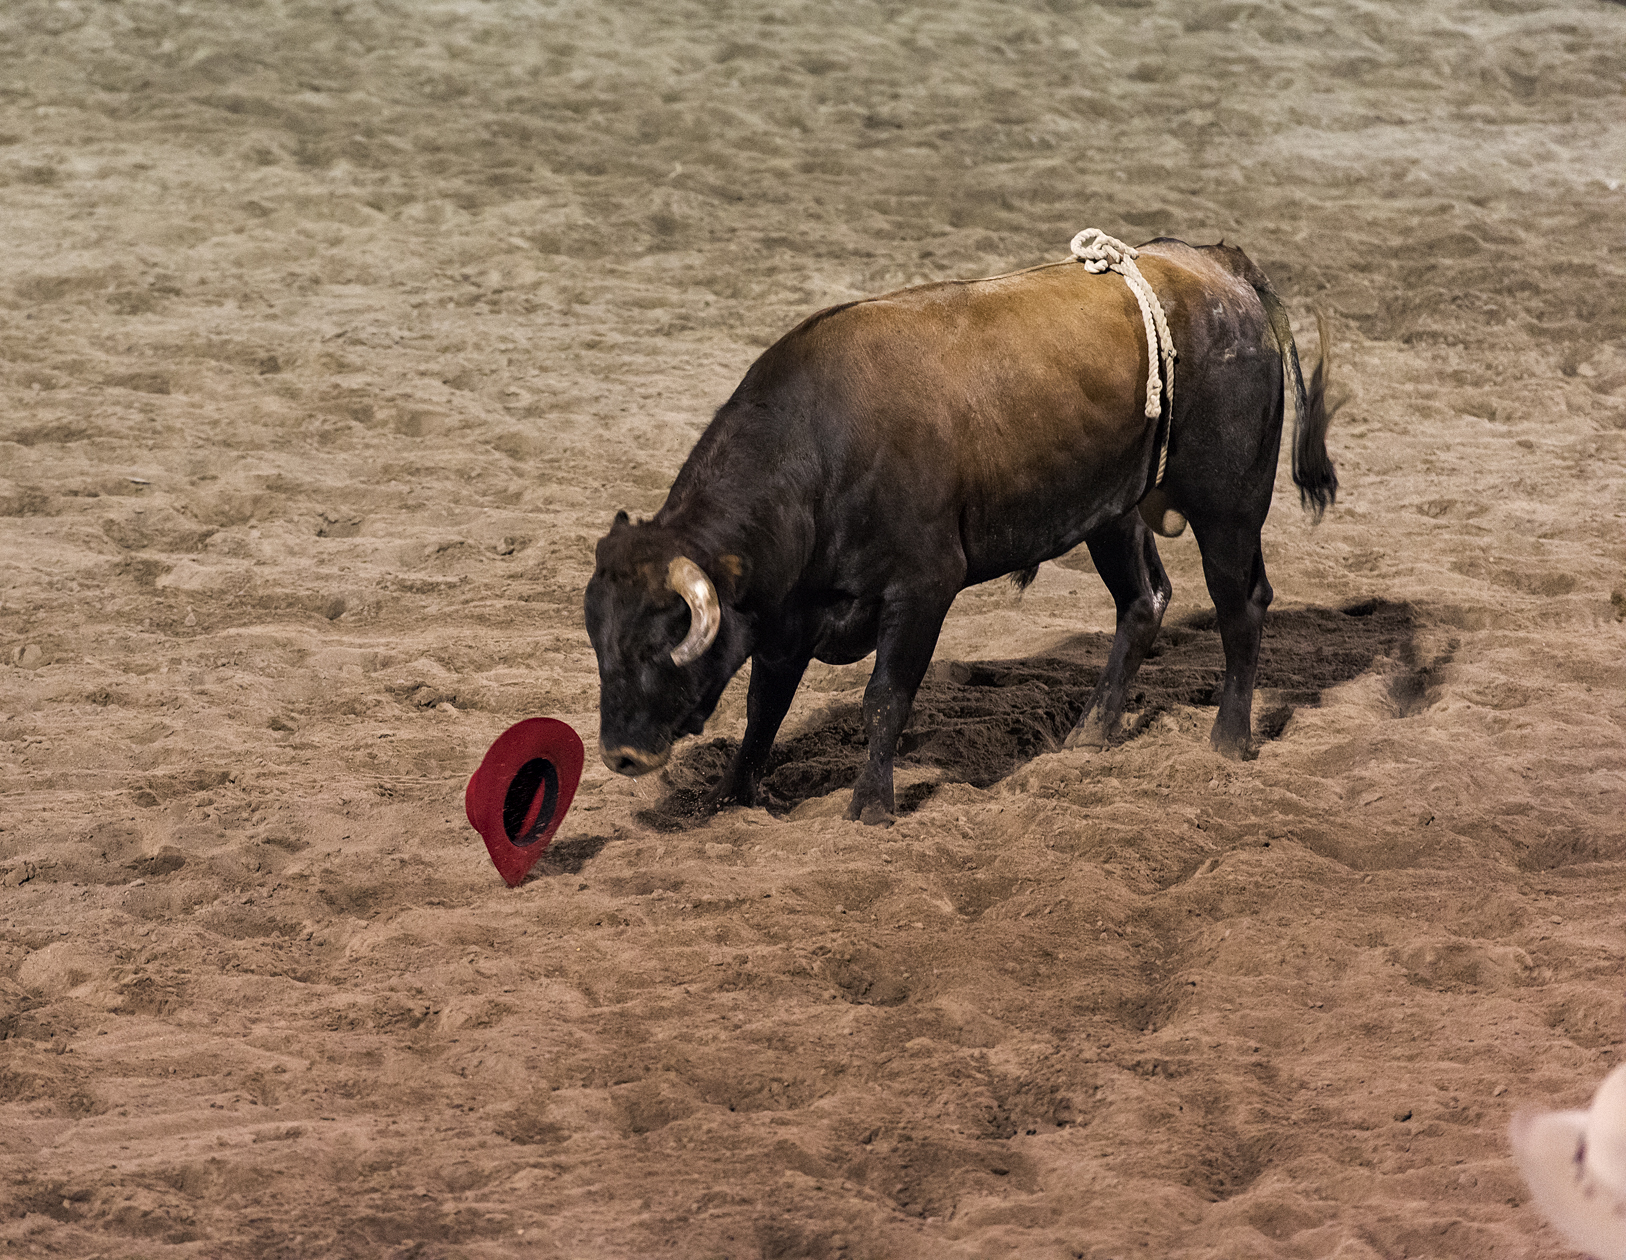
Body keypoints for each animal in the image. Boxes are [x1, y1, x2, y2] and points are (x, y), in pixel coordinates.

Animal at [584, 237, 1337, 825]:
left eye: (661, 642)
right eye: (600, 643)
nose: (621, 753)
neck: (823, 451)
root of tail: (1215, 265)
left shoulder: (923, 588)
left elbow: (884, 699)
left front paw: (871, 806)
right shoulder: (785, 611)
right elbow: (764, 705)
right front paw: (732, 795)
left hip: (1229, 507)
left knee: (1241, 606)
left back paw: (1229, 740)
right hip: (1114, 513)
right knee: (1142, 603)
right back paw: (1091, 733)